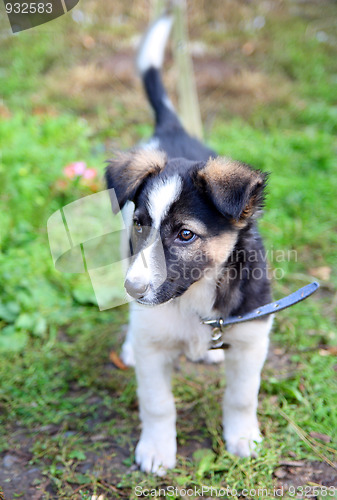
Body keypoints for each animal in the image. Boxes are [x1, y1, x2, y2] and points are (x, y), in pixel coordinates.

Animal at [106, 16, 272, 476]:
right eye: (142, 224)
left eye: (185, 235)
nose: (134, 289)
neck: (195, 297)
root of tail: (172, 128)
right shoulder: (154, 349)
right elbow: (158, 404)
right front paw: (157, 450)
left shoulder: (252, 337)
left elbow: (241, 397)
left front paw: (243, 439)